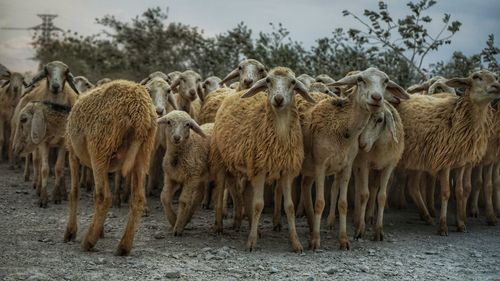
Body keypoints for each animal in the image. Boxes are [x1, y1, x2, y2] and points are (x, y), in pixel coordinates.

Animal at [63, 79, 156, 256]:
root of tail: (139, 113)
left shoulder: (72, 153)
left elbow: (74, 192)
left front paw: (70, 232)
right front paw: (100, 230)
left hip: (99, 147)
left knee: (104, 197)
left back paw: (88, 242)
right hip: (143, 152)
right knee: (138, 198)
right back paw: (123, 247)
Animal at [350, 101, 404, 241]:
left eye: (379, 120)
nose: (362, 144)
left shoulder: (388, 166)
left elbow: (382, 196)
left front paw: (379, 230)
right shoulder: (363, 164)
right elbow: (364, 194)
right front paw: (360, 229)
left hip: (376, 169)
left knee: (374, 187)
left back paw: (369, 216)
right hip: (357, 165)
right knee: (358, 187)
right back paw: (357, 218)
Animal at [394, 70, 500, 234]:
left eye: (495, 77)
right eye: (476, 77)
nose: (496, 86)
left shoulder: (462, 163)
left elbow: (461, 191)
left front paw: (461, 224)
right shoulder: (444, 162)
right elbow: (446, 193)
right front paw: (443, 226)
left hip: (417, 157)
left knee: (412, 186)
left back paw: (427, 216)